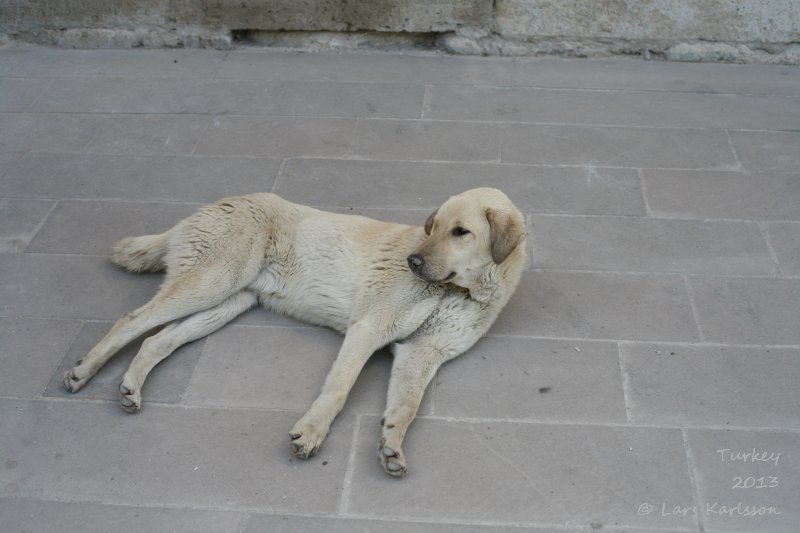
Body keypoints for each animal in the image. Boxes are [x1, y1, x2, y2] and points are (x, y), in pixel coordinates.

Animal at [62, 188, 524, 478]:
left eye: (460, 232)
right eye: (433, 227)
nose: (412, 262)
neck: (461, 291)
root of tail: (206, 208)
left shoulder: (421, 354)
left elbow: (405, 407)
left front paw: (392, 444)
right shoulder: (369, 328)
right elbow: (339, 388)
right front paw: (313, 431)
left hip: (225, 303)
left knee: (156, 339)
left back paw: (130, 387)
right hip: (213, 281)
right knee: (132, 320)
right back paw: (83, 370)